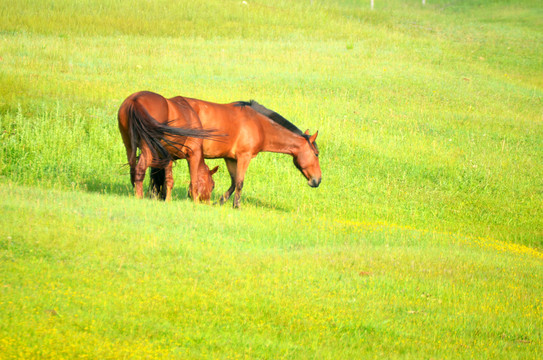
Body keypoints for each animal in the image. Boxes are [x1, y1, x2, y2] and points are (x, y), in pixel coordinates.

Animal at [151, 96, 320, 208]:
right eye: (317, 154)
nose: (317, 180)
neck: (259, 124)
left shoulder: (230, 159)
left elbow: (233, 183)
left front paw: (219, 201)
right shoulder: (244, 157)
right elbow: (239, 182)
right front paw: (236, 206)